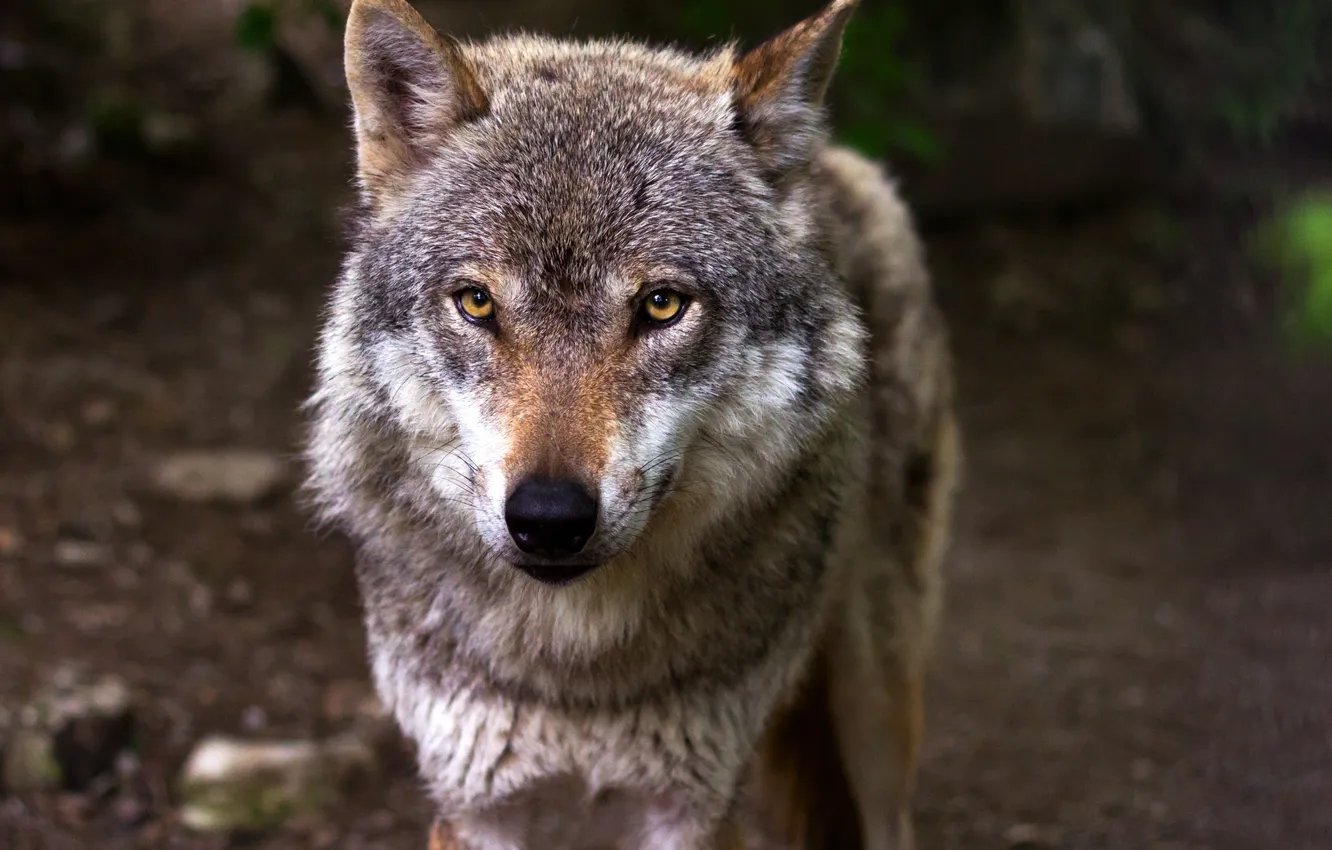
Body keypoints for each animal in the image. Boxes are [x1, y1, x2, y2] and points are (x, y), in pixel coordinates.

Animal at [303, 0, 961, 847]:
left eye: (661, 305)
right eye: (477, 302)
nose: (549, 518)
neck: (578, 671)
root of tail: (837, 161)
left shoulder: (693, 806)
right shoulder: (476, 805)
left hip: (874, 710)